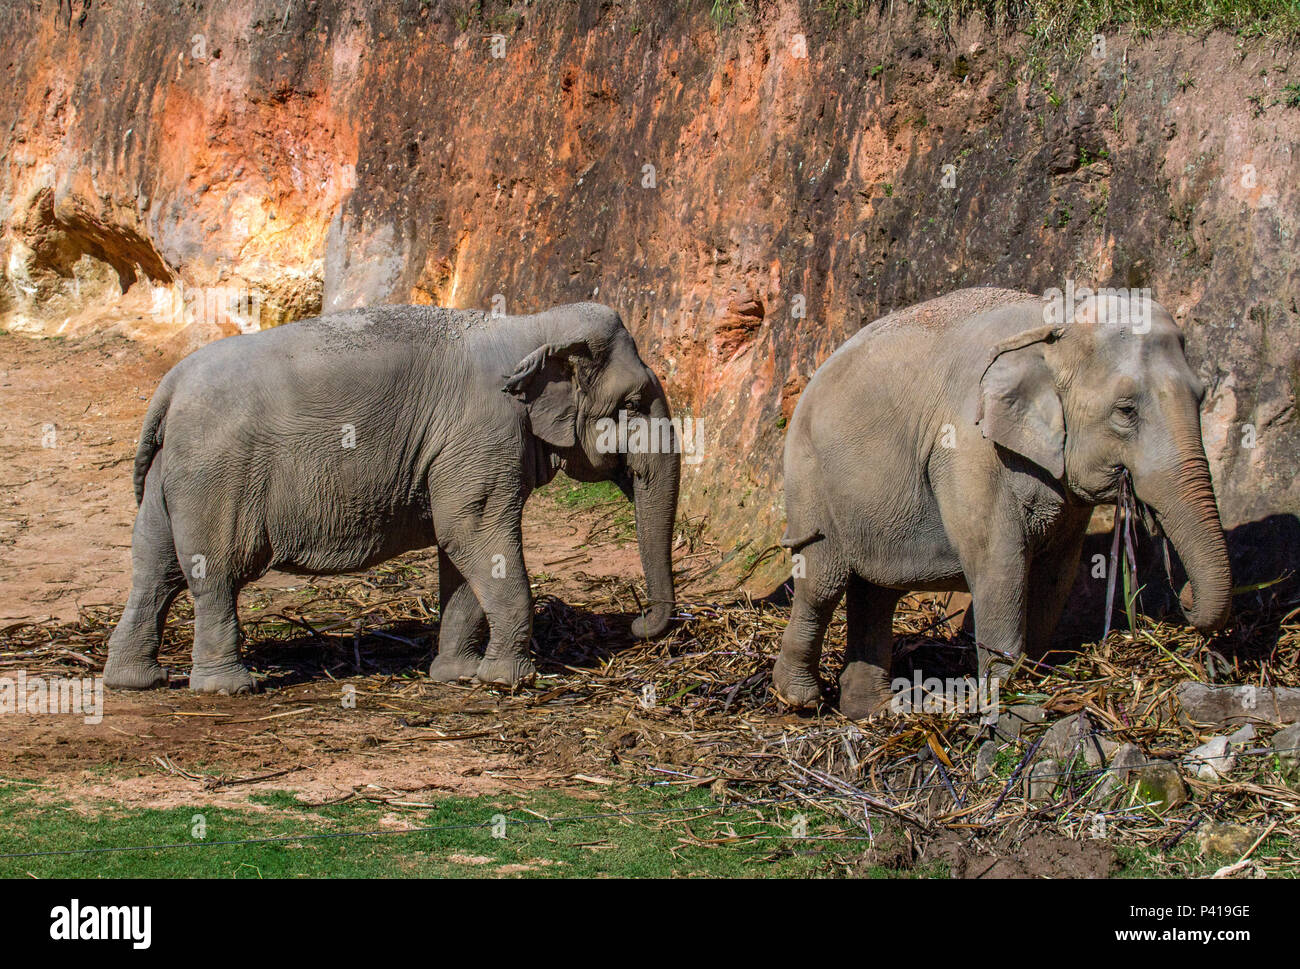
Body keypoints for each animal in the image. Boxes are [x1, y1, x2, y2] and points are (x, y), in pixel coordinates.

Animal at [103, 301, 680, 693]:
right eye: (632, 404)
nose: (638, 624)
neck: (531, 326)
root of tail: (170, 384)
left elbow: (460, 550)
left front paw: (455, 675)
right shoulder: (483, 432)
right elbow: (475, 532)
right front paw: (504, 681)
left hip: (171, 475)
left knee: (153, 568)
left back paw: (136, 681)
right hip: (216, 478)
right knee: (215, 575)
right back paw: (229, 687)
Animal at [774, 287, 1232, 720]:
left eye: (1201, 397)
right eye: (1126, 410)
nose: (1184, 598)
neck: (1057, 320)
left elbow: (1055, 574)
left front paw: (1035, 678)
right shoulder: (970, 449)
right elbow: (1000, 563)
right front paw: (1004, 697)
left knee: (877, 592)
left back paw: (875, 711)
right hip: (810, 478)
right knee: (821, 581)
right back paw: (799, 699)